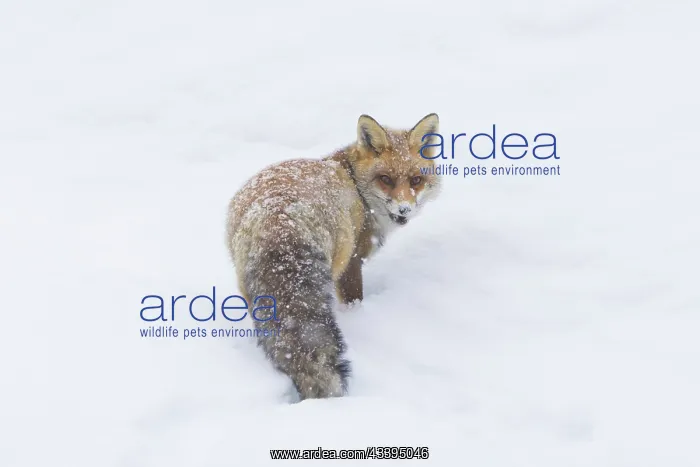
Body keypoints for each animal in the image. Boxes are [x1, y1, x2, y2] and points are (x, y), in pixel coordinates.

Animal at [226, 113, 441, 400]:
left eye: (416, 180)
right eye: (385, 179)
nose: (404, 210)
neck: (355, 184)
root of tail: (278, 220)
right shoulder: (352, 263)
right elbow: (354, 300)